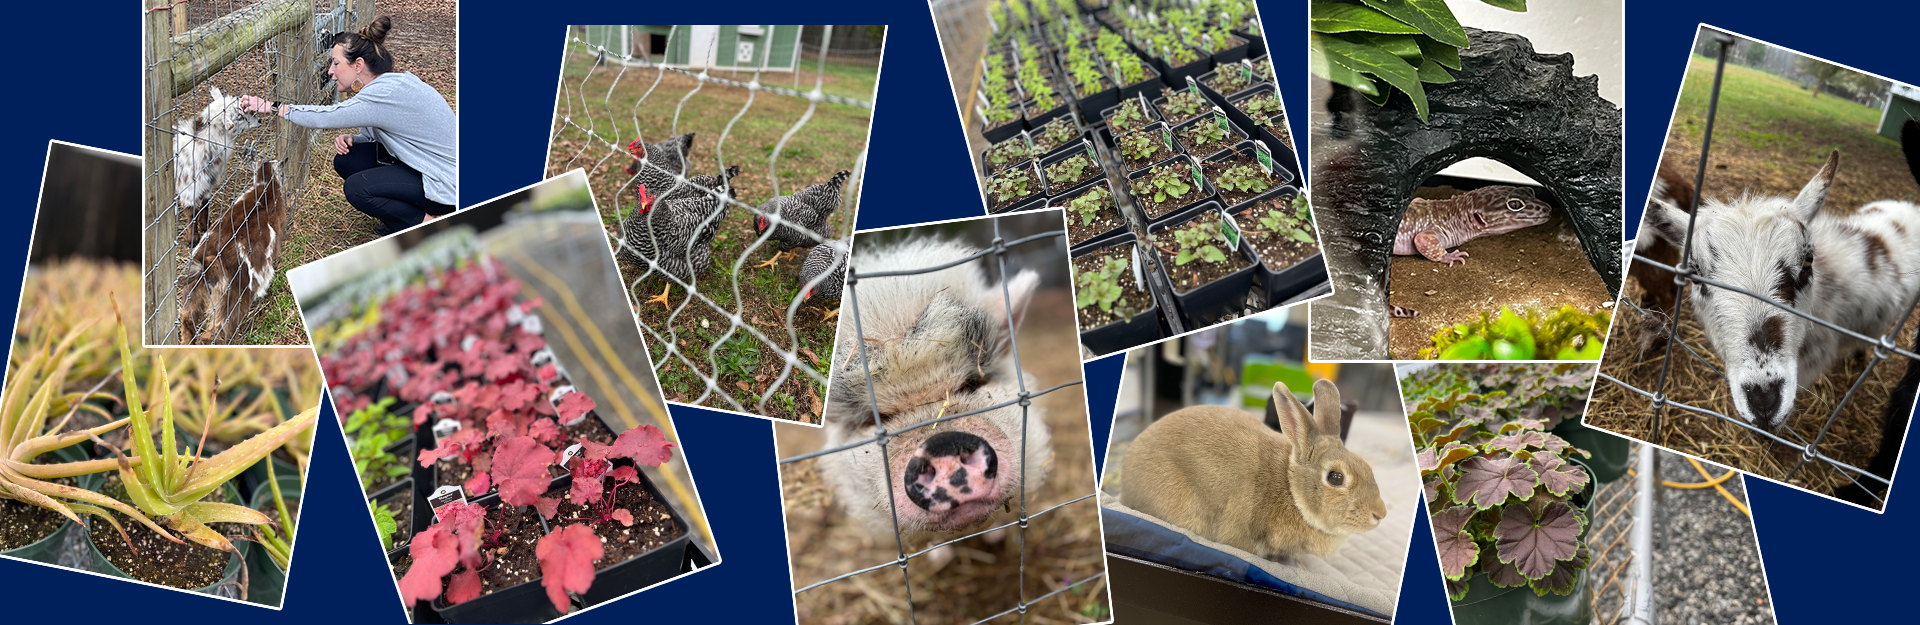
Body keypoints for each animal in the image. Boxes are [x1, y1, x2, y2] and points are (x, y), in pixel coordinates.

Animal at [180, 159, 286, 345]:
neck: (266, 190)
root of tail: (209, 265)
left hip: (192, 289)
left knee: (186, 318)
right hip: (231, 303)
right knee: (214, 333)